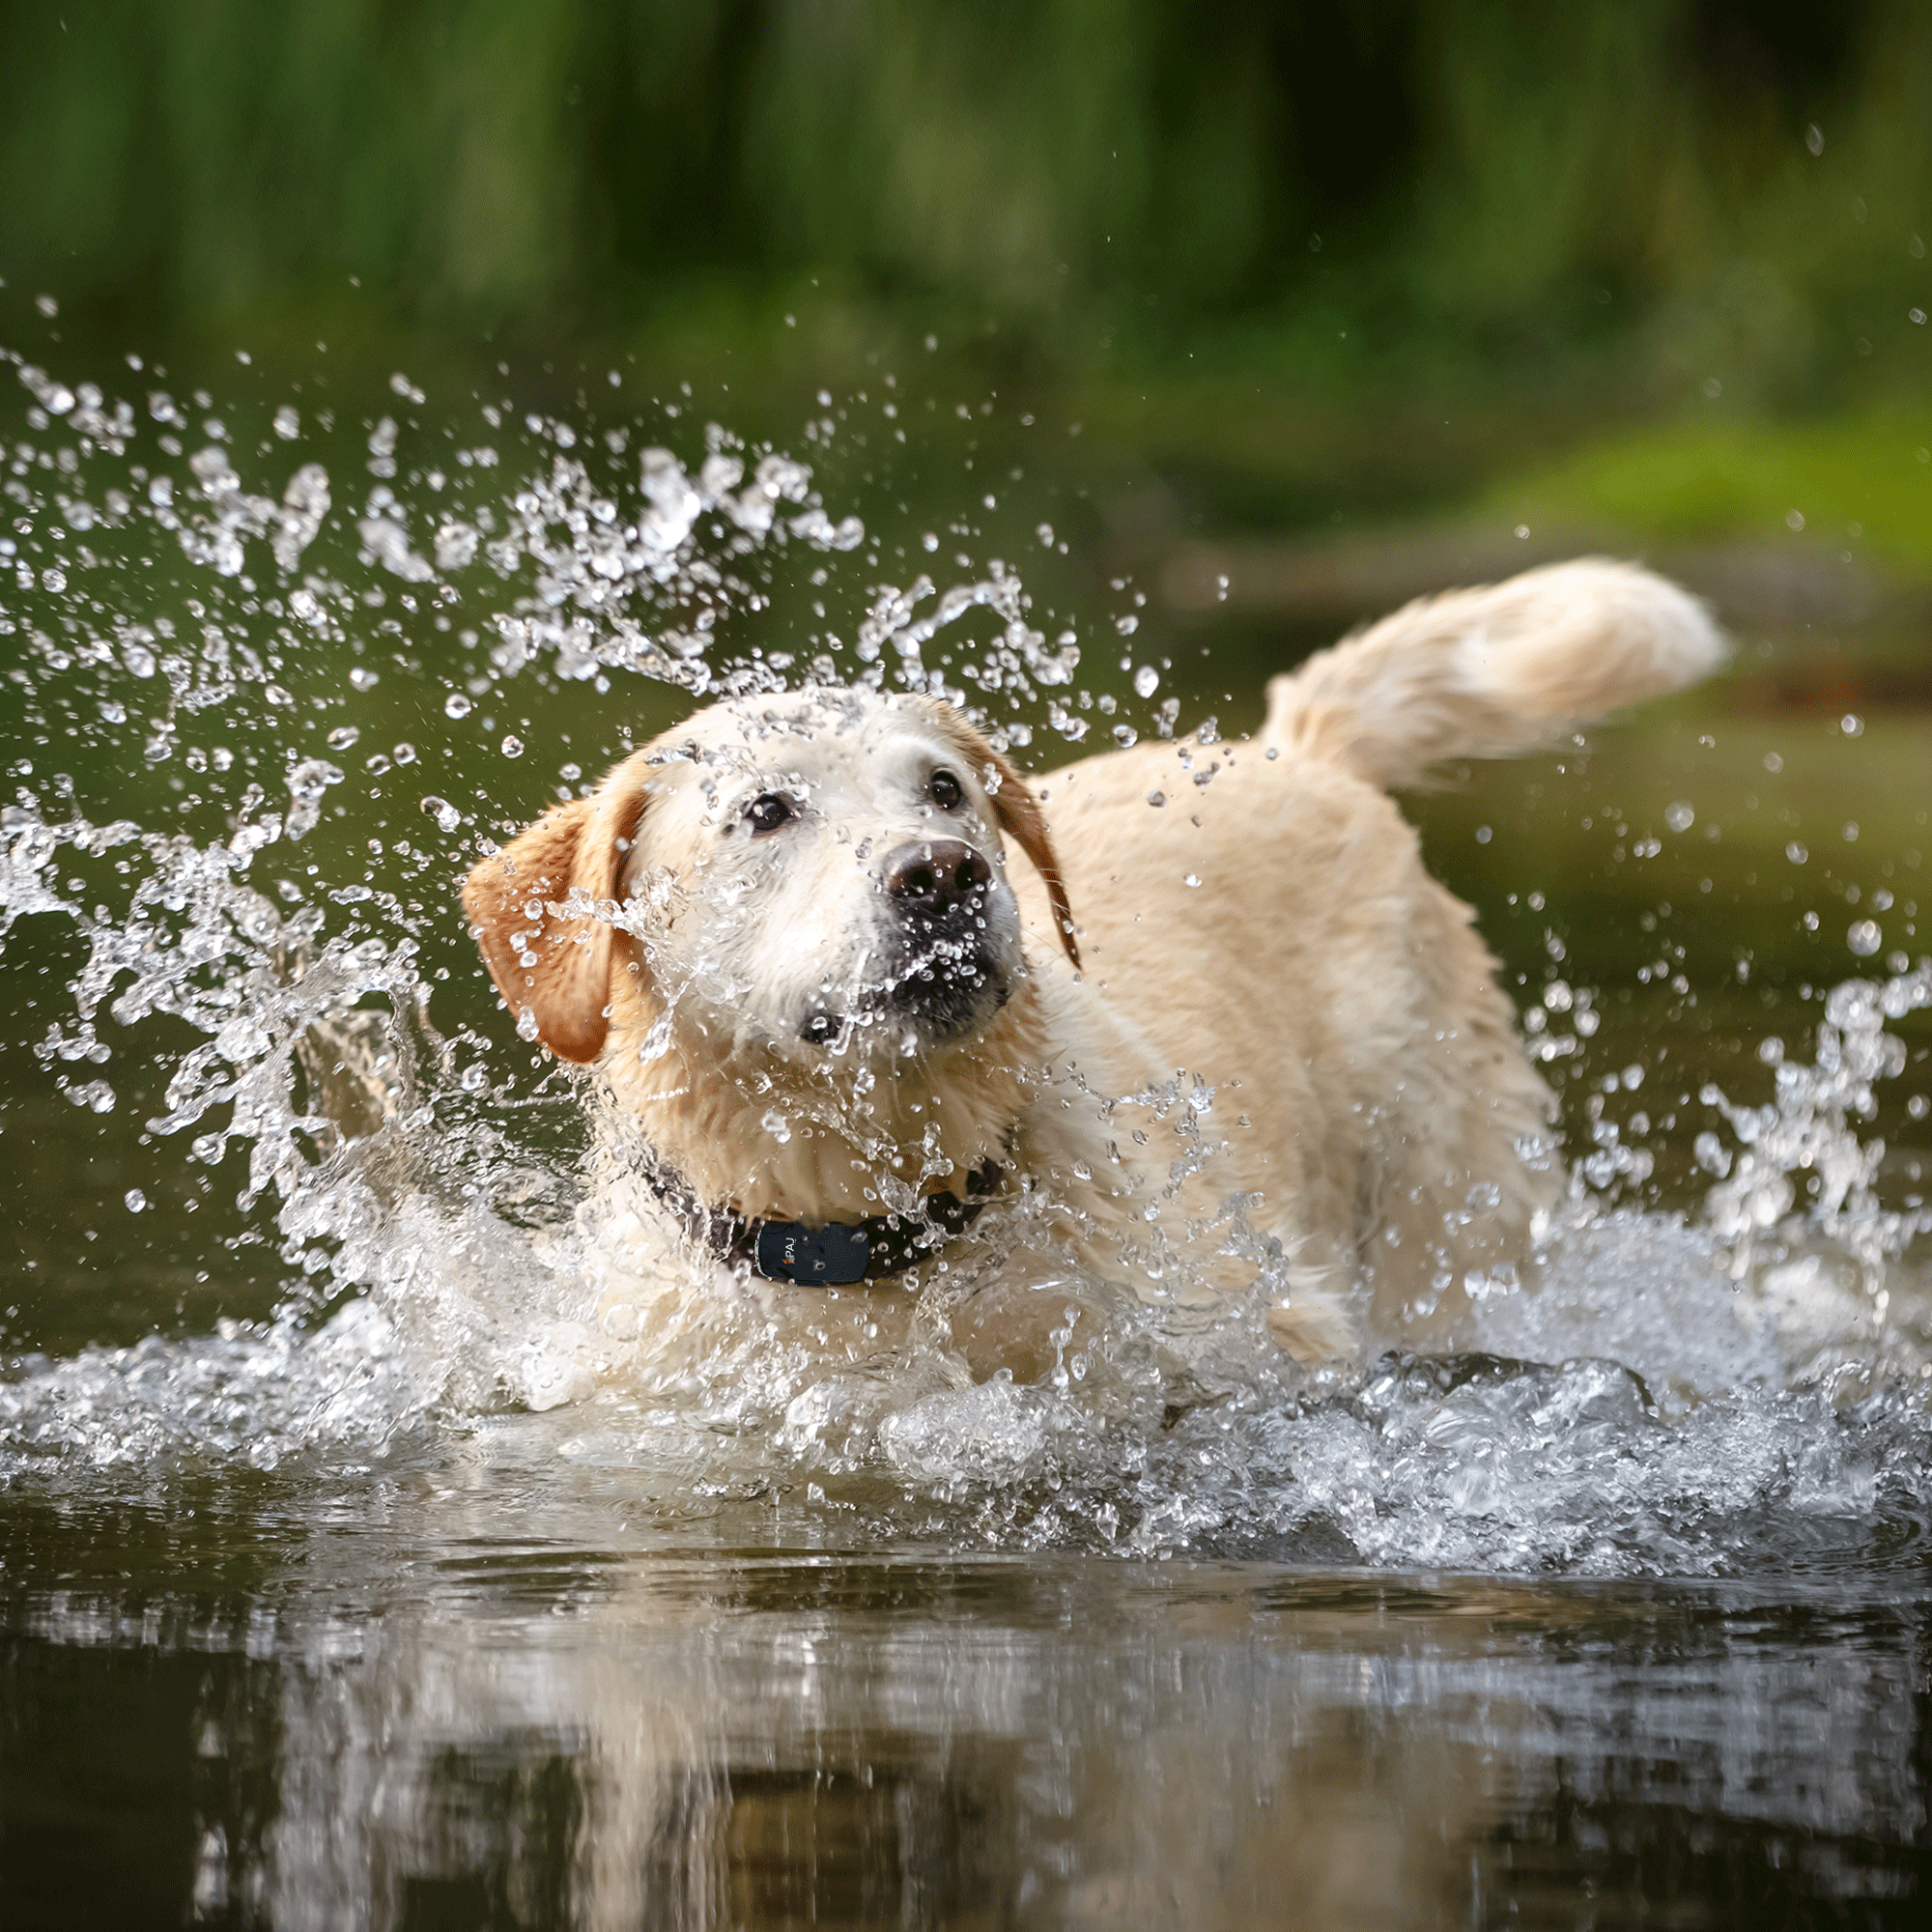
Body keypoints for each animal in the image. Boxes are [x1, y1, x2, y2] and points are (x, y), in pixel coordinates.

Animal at [468, 564, 1723, 1376]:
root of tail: (1299, 749)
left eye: (944, 789)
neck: (875, 1220)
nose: (945, 874)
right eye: (766, 810)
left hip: (1444, 1216)